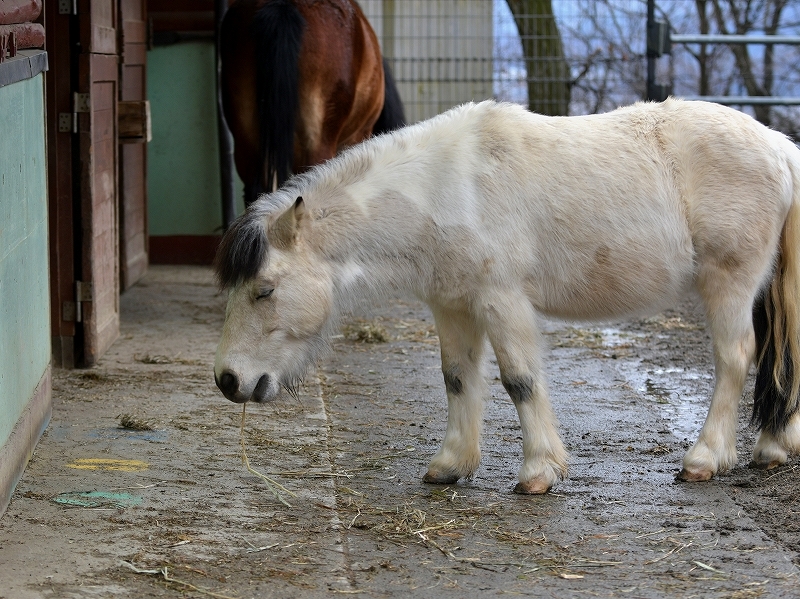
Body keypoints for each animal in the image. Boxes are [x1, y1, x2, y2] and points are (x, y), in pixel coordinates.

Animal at [216, 98, 800, 492]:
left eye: (265, 290)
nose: (228, 381)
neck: (443, 190)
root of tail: (779, 146)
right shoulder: (452, 305)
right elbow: (456, 378)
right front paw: (451, 464)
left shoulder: (502, 301)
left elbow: (520, 380)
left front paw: (538, 472)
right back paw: (773, 447)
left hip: (728, 283)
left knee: (734, 359)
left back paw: (705, 458)